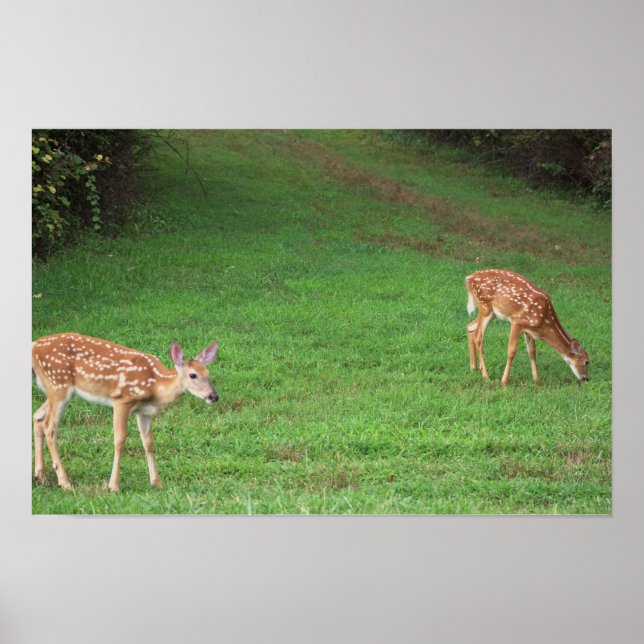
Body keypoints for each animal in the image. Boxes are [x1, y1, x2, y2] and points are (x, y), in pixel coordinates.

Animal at [32, 333, 219, 492]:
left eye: (208, 373)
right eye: (193, 375)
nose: (214, 396)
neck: (155, 386)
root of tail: (34, 346)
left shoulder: (143, 412)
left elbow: (148, 443)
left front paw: (156, 482)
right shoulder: (122, 400)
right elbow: (119, 440)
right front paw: (113, 486)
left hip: (55, 389)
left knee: (38, 416)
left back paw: (41, 477)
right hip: (59, 384)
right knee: (50, 426)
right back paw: (64, 482)